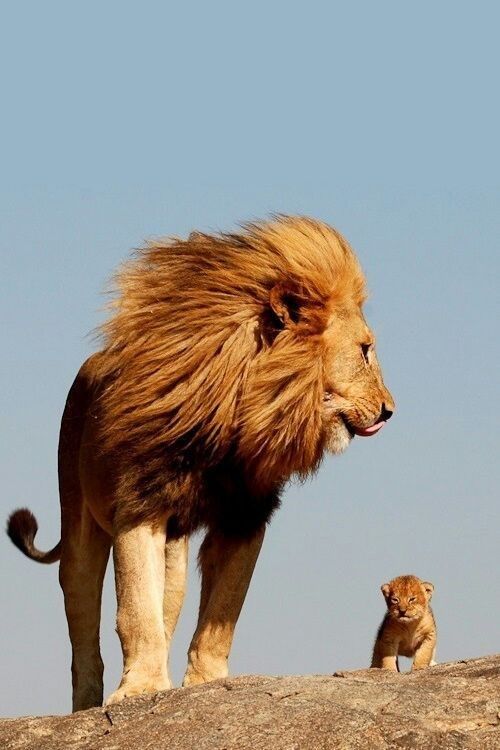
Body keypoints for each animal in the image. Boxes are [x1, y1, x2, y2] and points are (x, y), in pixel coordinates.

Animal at [7, 215, 394, 711]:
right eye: (365, 350)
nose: (389, 410)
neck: (237, 414)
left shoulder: (245, 516)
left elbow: (222, 613)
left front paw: (205, 684)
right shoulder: (139, 505)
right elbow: (135, 610)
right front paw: (140, 689)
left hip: (174, 556)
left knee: (167, 606)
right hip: (78, 527)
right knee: (83, 625)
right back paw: (87, 705)